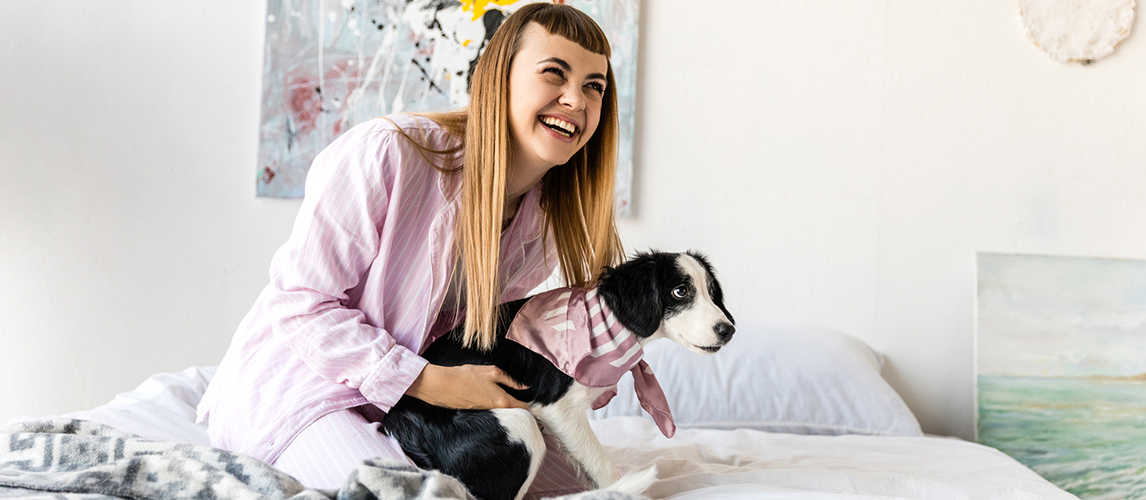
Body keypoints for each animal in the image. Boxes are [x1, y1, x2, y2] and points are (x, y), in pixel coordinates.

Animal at [380, 252, 728, 499]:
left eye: (713, 294)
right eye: (680, 291)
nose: (728, 330)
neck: (609, 324)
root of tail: (397, 422)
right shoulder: (558, 409)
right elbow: (602, 463)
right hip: (519, 422)